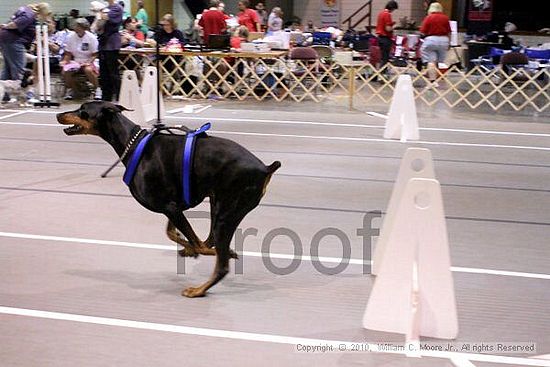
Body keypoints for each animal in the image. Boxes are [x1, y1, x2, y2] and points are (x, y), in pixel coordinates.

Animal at [58, 102, 282, 298]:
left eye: (83, 110)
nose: (59, 114)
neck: (134, 145)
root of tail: (266, 168)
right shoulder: (173, 206)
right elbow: (173, 233)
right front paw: (188, 249)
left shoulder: (170, 207)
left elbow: (196, 244)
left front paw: (199, 251)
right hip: (218, 204)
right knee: (210, 240)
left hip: (226, 213)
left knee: (221, 263)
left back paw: (198, 289)